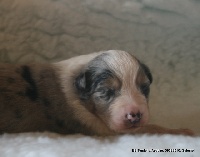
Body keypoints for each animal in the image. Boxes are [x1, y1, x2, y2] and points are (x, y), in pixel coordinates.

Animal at [0, 50, 194, 136]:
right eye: (106, 91)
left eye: (144, 88)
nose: (135, 115)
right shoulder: (105, 129)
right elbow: (151, 128)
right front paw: (182, 131)